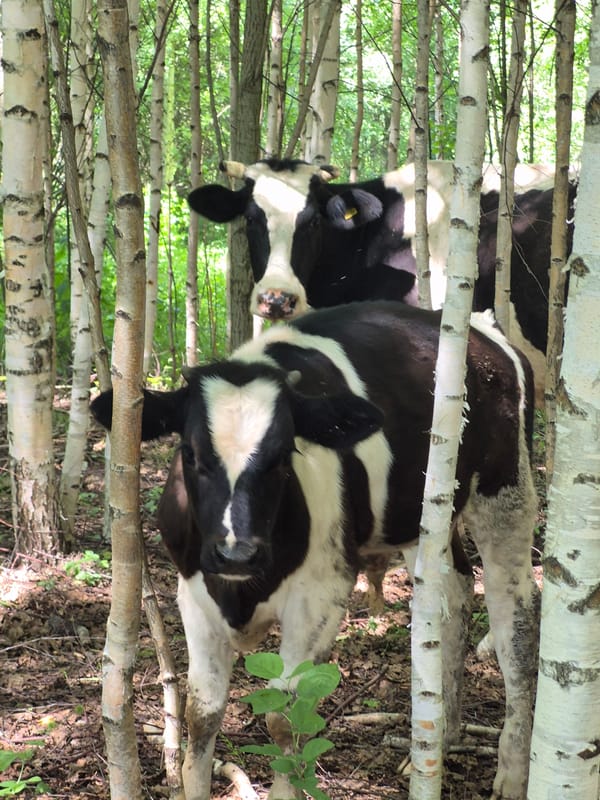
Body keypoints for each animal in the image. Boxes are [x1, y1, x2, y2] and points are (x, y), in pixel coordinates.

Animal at [91, 300, 539, 800]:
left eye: (284, 454)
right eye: (190, 453)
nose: (236, 554)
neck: (242, 591)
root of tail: (482, 329)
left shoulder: (321, 596)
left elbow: (284, 719)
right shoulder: (193, 592)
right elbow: (201, 713)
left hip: (506, 492)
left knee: (516, 621)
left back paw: (512, 772)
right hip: (425, 518)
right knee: (454, 596)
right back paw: (442, 740)